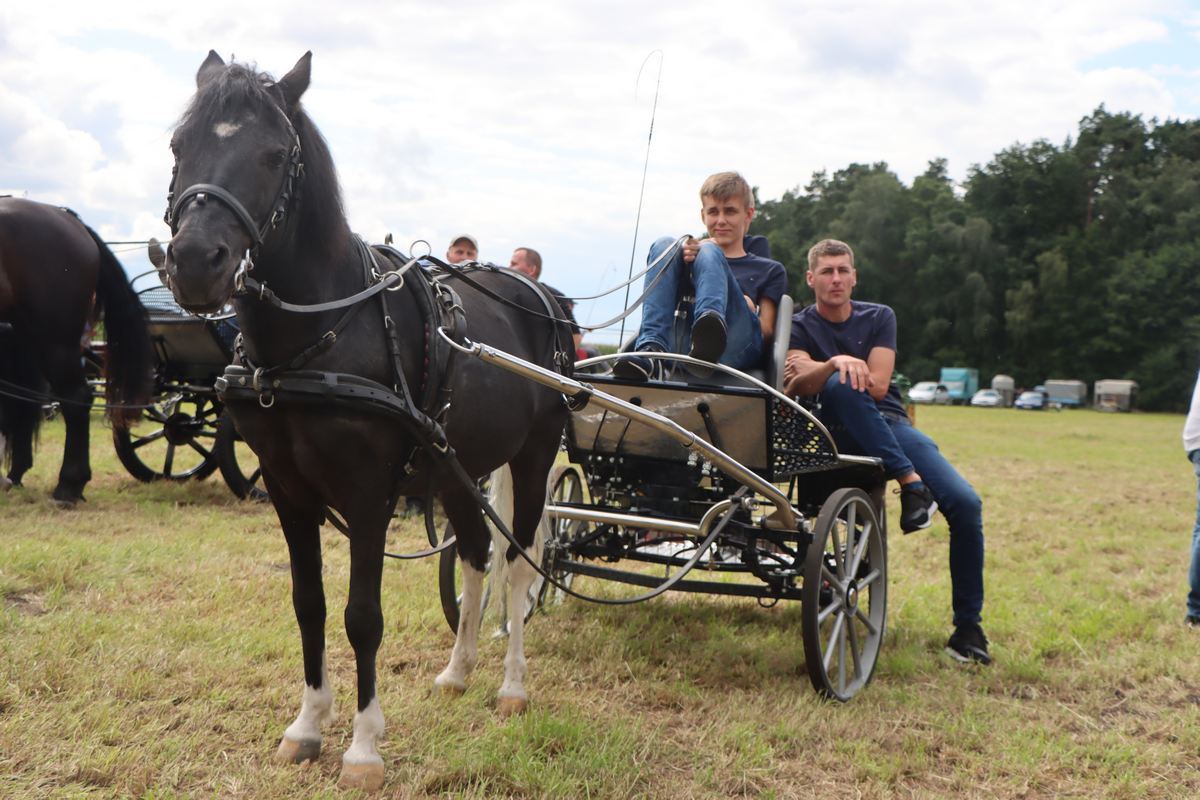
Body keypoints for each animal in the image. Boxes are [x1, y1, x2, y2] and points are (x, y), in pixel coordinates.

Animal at [163, 53, 571, 791]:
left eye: (274, 154)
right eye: (180, 145)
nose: (193, 261)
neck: (321, 332)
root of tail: (542, 295)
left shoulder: (367, 494)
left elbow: (362, 617)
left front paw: (363, 747)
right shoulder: (289, 492)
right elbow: (309, 604)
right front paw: (306, 726)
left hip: (531, 457)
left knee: (517, 565)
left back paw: (511, 686)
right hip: (454, 467)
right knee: (475, 554)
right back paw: (458, 671)